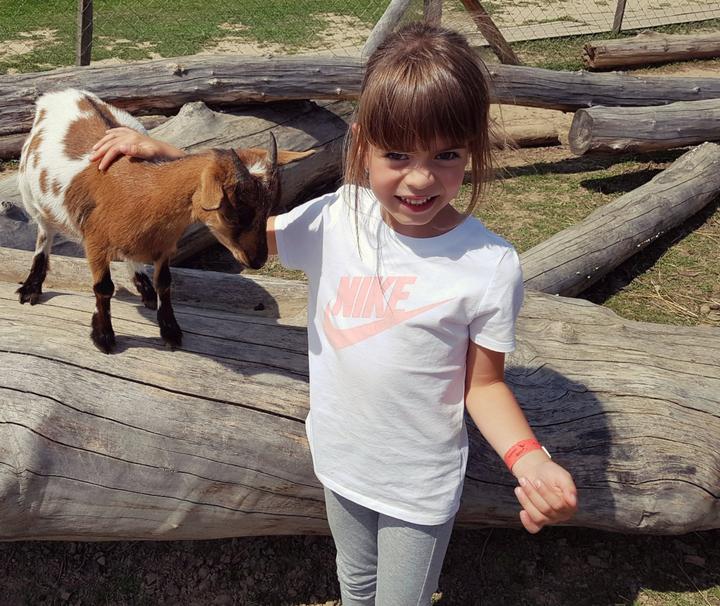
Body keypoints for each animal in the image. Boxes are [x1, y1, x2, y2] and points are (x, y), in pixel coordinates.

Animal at [17, 88, 299, 353]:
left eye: (268, 208)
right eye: (232, 211)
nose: (257, 260)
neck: (142, 190)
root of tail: (63, 94)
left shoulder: (164, 246)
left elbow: (165, 283)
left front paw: (170, 331)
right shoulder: (95, 242)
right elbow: (103, 287)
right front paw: (103, 337)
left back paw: (144, 288)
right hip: (31, 195)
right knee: (44, 235)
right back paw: (31, 287)